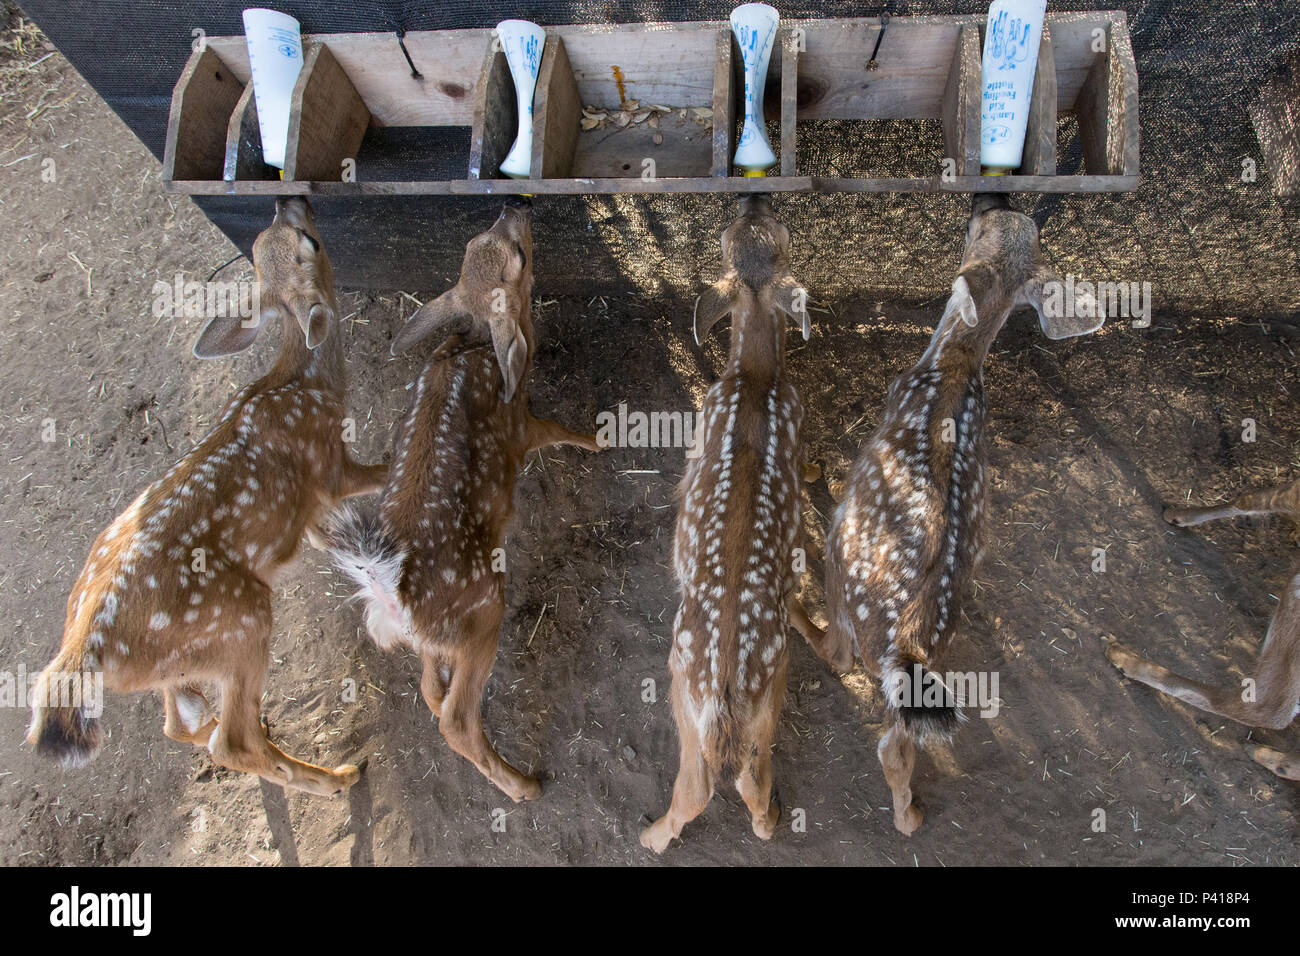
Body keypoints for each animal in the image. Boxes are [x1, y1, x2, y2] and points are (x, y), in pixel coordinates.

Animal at [26, 197, 387, 796]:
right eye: (308, 244)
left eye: (266, 242)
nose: (288, 199)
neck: (307, 384)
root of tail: (85, 651)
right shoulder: (332, 469)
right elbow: (380, 473)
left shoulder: (308, 501)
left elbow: (322, 532)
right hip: (240, 621)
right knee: (231, 742)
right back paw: (338, 775)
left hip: (179, 664)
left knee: (183, 722)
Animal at [326, 197, 601, 802]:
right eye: (520, 258)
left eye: (477, 240)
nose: (515, 204)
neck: (476, 345)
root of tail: (388, 592)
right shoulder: (520, 426)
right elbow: (557, 429)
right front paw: (603, 438)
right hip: (481, 608)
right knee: (454, 718)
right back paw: (524, 785)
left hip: (437, 634)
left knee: (431, 691)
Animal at [640, 194, 829, 853]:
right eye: (742, 233)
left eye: (776, 234)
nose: (753, 196)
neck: (755, 377)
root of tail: (723, 688)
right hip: (770, 691)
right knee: (752, 775)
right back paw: (770, 820)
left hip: (679, 675)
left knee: (698, 783)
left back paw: (649, 836)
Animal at [821, 193, 1105, 835]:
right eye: (1005, 223)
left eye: (981, 228)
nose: (986, 197)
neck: (952, 364)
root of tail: (908, 637)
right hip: (929, 655)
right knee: (902, 740)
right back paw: (911, 816)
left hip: (848, 575)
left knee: (852, 670)